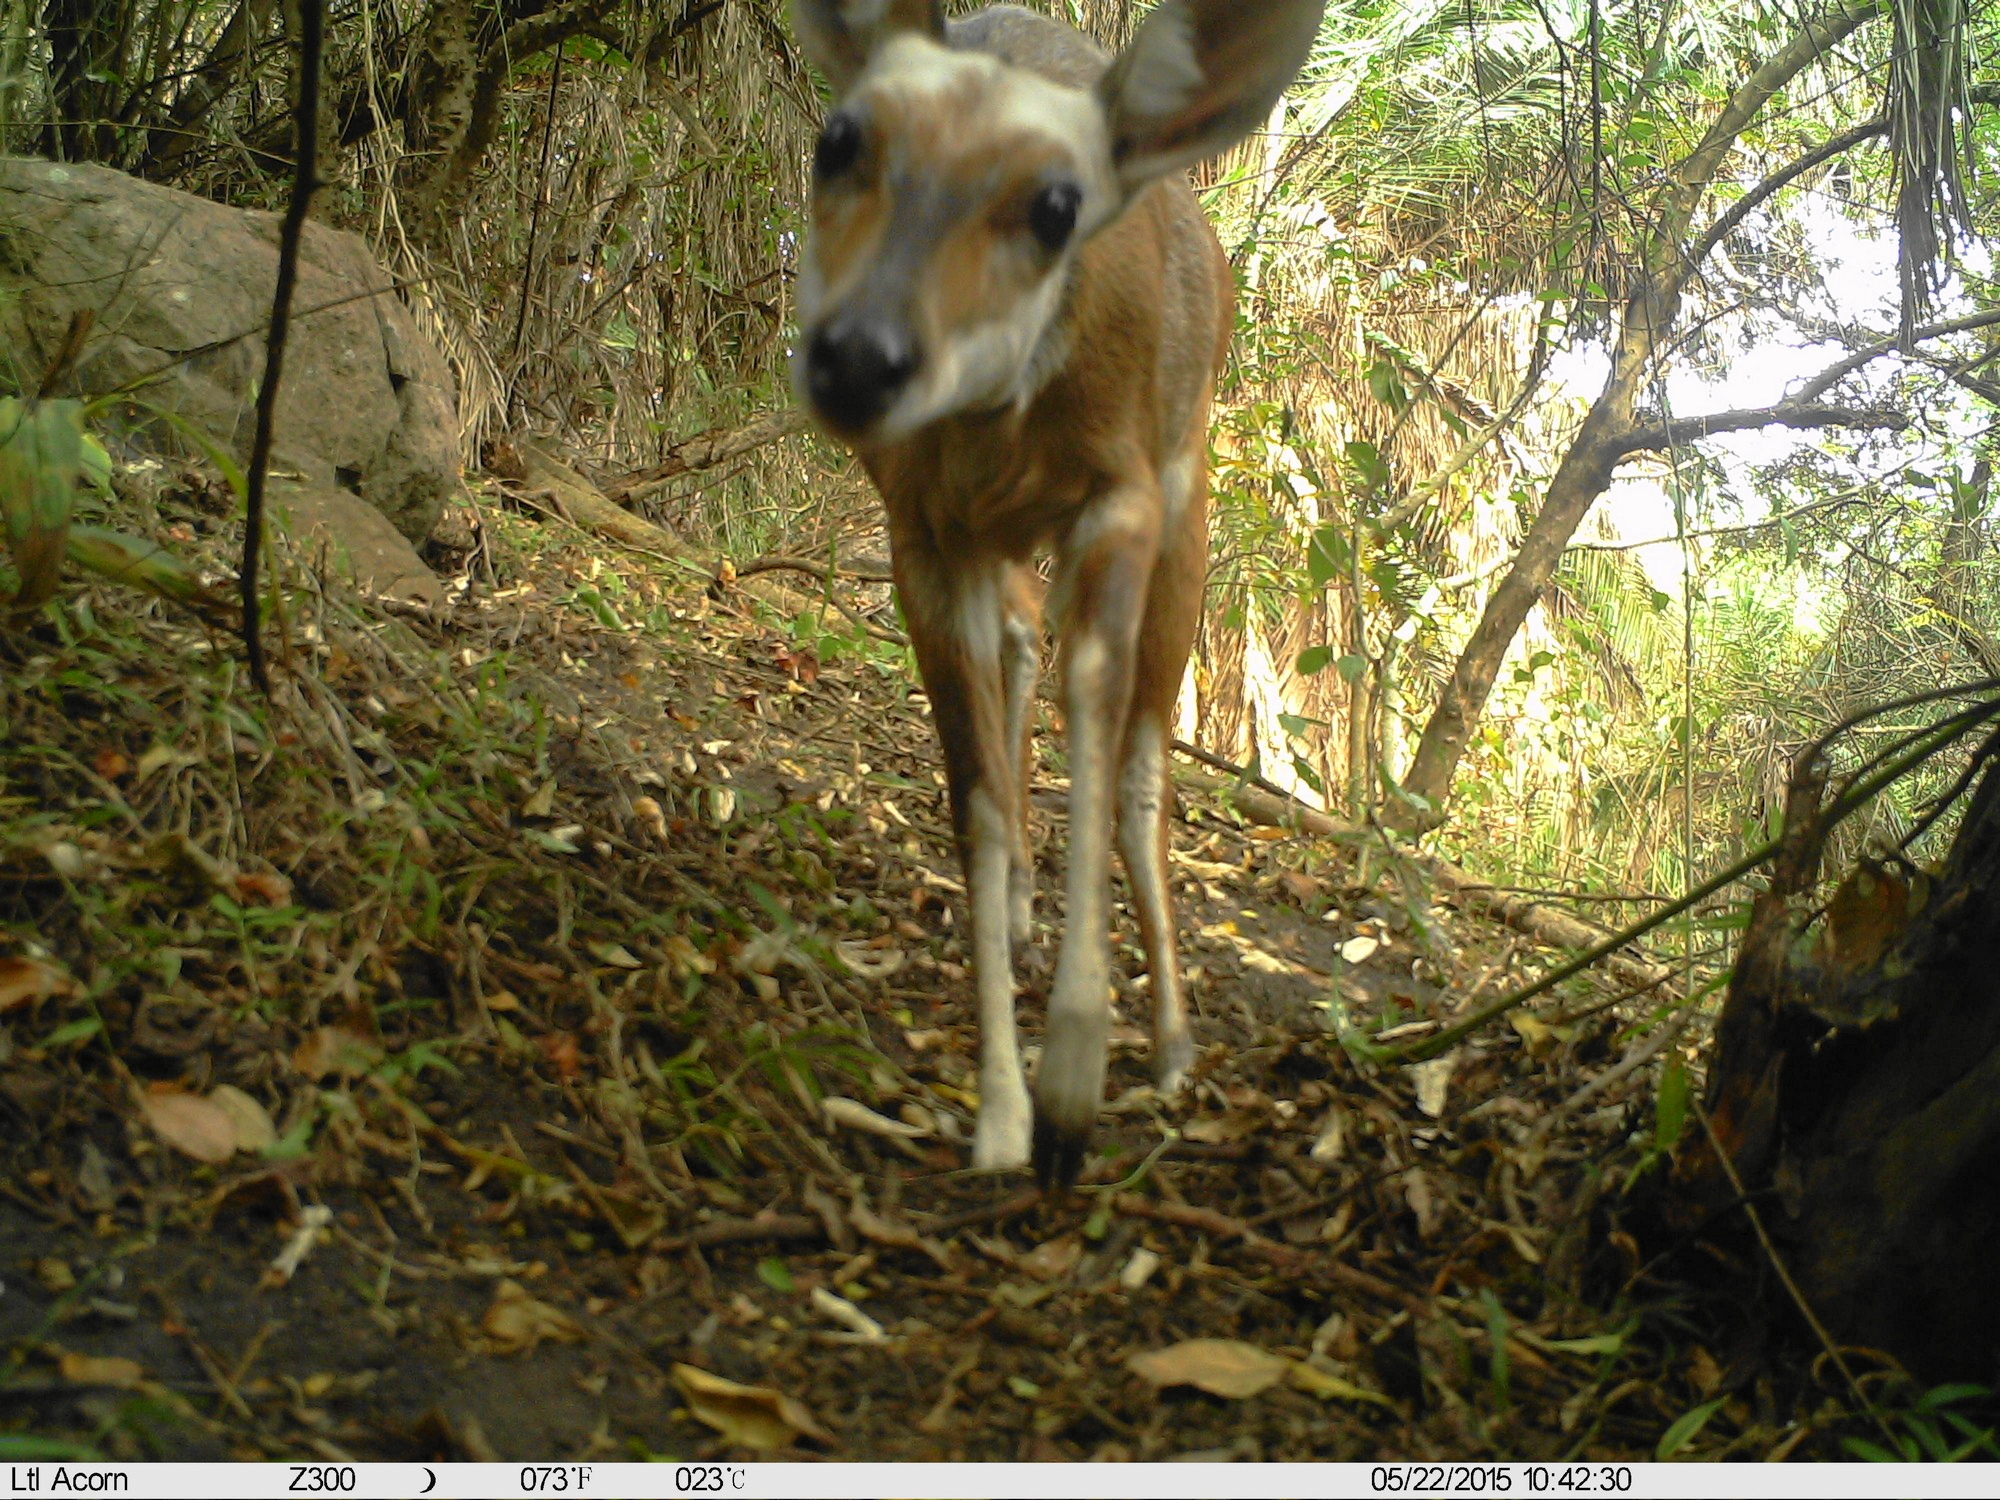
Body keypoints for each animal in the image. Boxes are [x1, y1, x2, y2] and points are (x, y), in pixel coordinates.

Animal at [788, 0, 1320, 1184]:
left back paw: (1168, 1042)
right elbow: (975, 798)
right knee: (1024, 646)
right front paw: (1002, 1113)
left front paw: (1075, 1083)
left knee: (1141, 757)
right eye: (838, 139)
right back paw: (1032, 917)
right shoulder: (920, 529)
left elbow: (1100, 721)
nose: (859, 357)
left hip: (1189, 498)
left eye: (1055, 204)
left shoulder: (1121, 494)